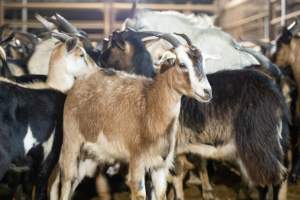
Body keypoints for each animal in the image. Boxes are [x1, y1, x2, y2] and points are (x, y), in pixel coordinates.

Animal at [55, 32, 212, 200]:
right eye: (182, 64)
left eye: (203, 64)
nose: (207, 92)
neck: (150, 106)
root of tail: (81, 80)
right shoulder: (137, 159)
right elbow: (139, 193)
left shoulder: (159, 165)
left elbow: (161, 194)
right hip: (72, 140)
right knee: (67, 179)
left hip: (90, 153)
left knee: (76, 179)